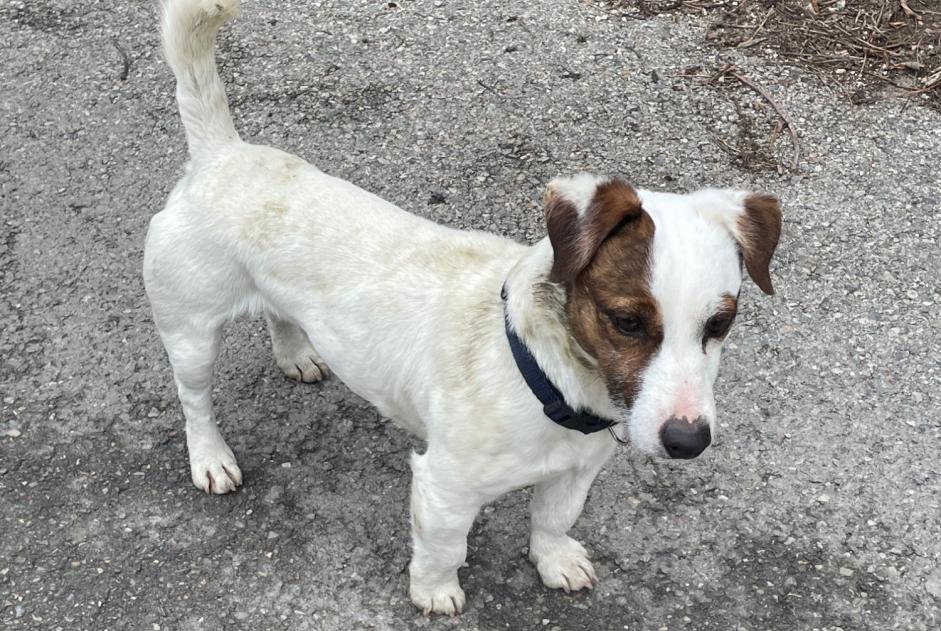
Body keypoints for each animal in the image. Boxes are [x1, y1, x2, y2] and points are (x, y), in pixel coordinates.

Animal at [145, 0, 780, 616]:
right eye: (625, 321)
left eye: (720, 323)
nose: (688, 443)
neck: (543, 376)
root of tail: (221, 153)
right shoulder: (444, 488)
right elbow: (445, 547)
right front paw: (433, 592)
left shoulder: (577, 470)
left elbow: (553, 520)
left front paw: (554, 559)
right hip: (191, 334)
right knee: (195, 402)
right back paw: (210, 457)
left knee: (279, 314)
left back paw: (296, 354)